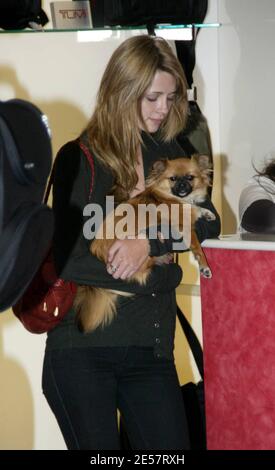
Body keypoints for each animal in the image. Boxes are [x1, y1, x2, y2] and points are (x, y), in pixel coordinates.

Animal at [74, 154, 217, 330]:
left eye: (190, 177)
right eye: (173, 179)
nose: (182, 185)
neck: (175, 197)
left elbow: (198, 210)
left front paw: (207, 212)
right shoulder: (184, 228)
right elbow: (197, 248)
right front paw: (204, 267)